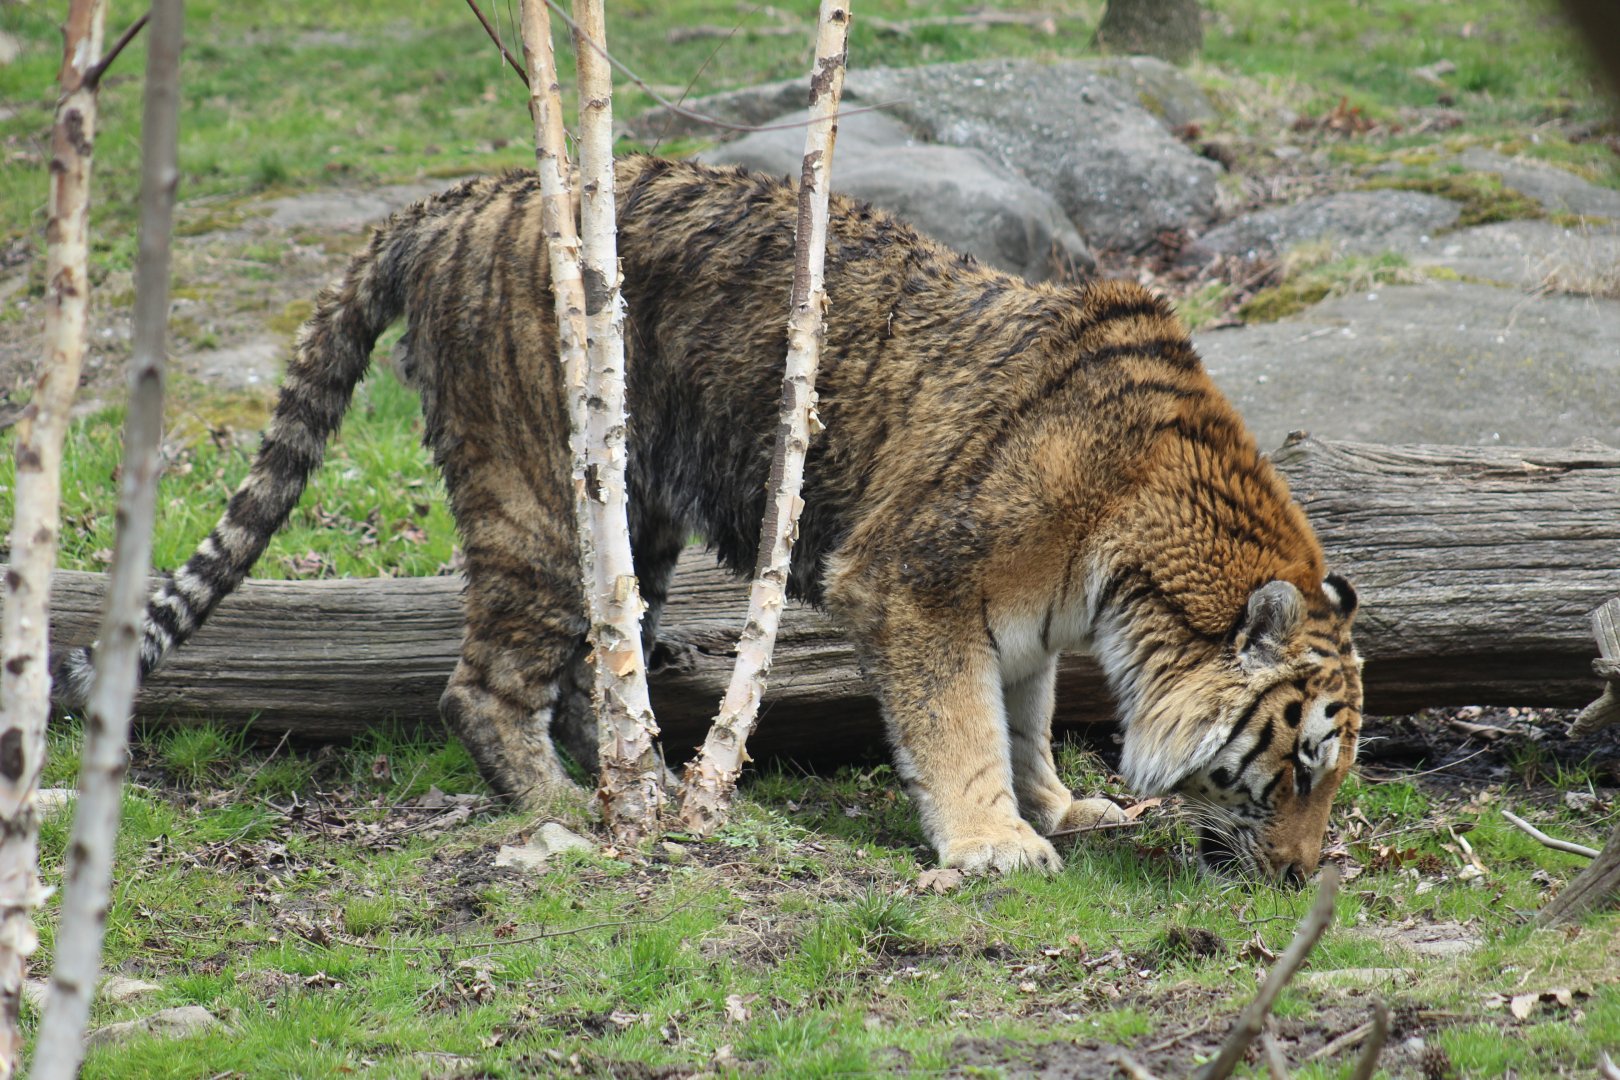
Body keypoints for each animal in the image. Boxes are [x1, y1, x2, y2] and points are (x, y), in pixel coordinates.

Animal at [54, 154, 1363, 880]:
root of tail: (459, 198)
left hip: (627, 518)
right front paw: (995, 843)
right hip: (540, 499)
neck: (1136, 550)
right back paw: (566, 811)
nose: (1302, 879)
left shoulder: (1028, 614)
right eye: (1297, 766)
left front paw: (1058, 803)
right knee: (482, 685)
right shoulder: (911, 576)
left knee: (595, 666)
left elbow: (1027, 711)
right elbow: (960, 722)